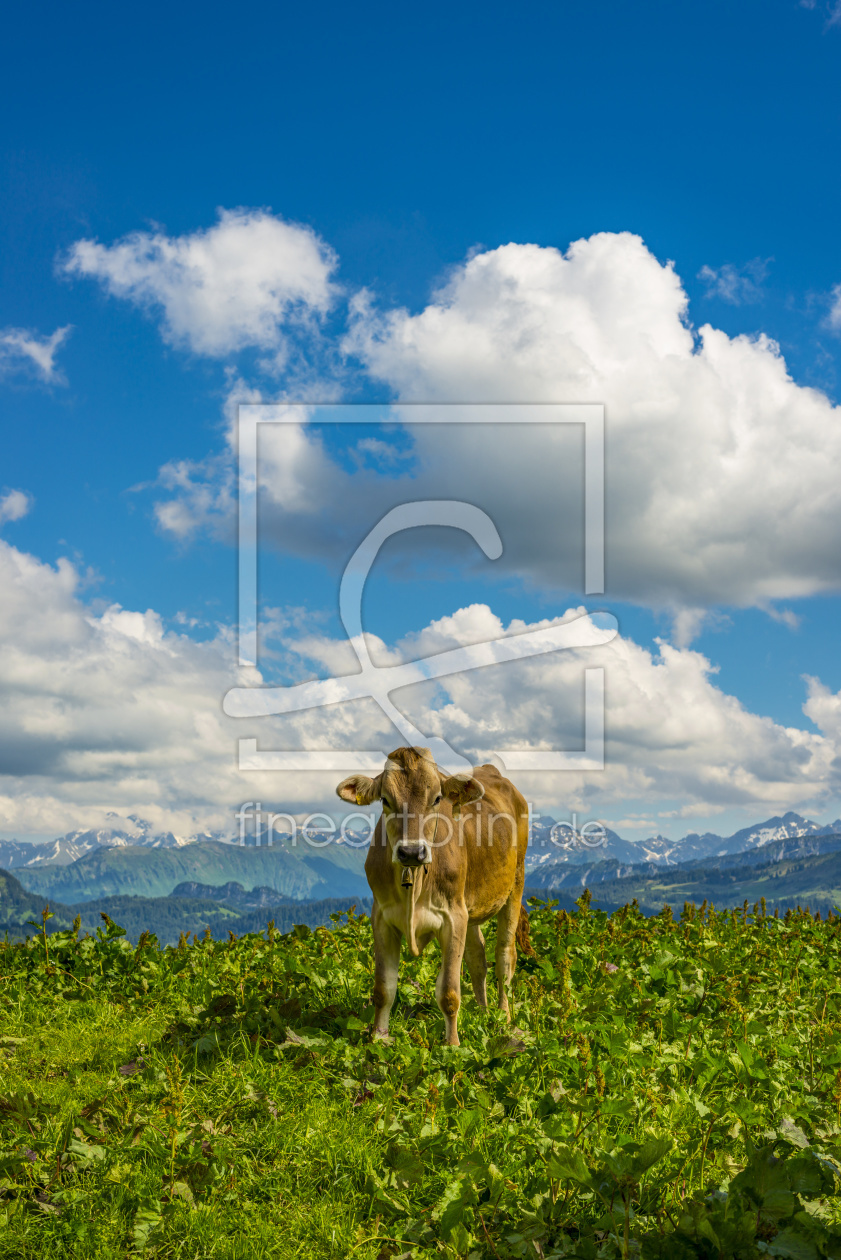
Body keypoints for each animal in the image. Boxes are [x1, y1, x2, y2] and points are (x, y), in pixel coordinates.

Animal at [332, 745, 527, 1043]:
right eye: (385, 800)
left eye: (436, 799)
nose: (412, 852)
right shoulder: (382, 917)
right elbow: (383, 989)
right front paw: (379, 1038)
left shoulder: (452, 918)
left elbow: (449, 992)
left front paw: (452, 1045)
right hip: (470, 908)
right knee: (477, 957)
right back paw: (483, 1013)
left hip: (514, 886)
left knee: (505, 956)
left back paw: (503, 1019)